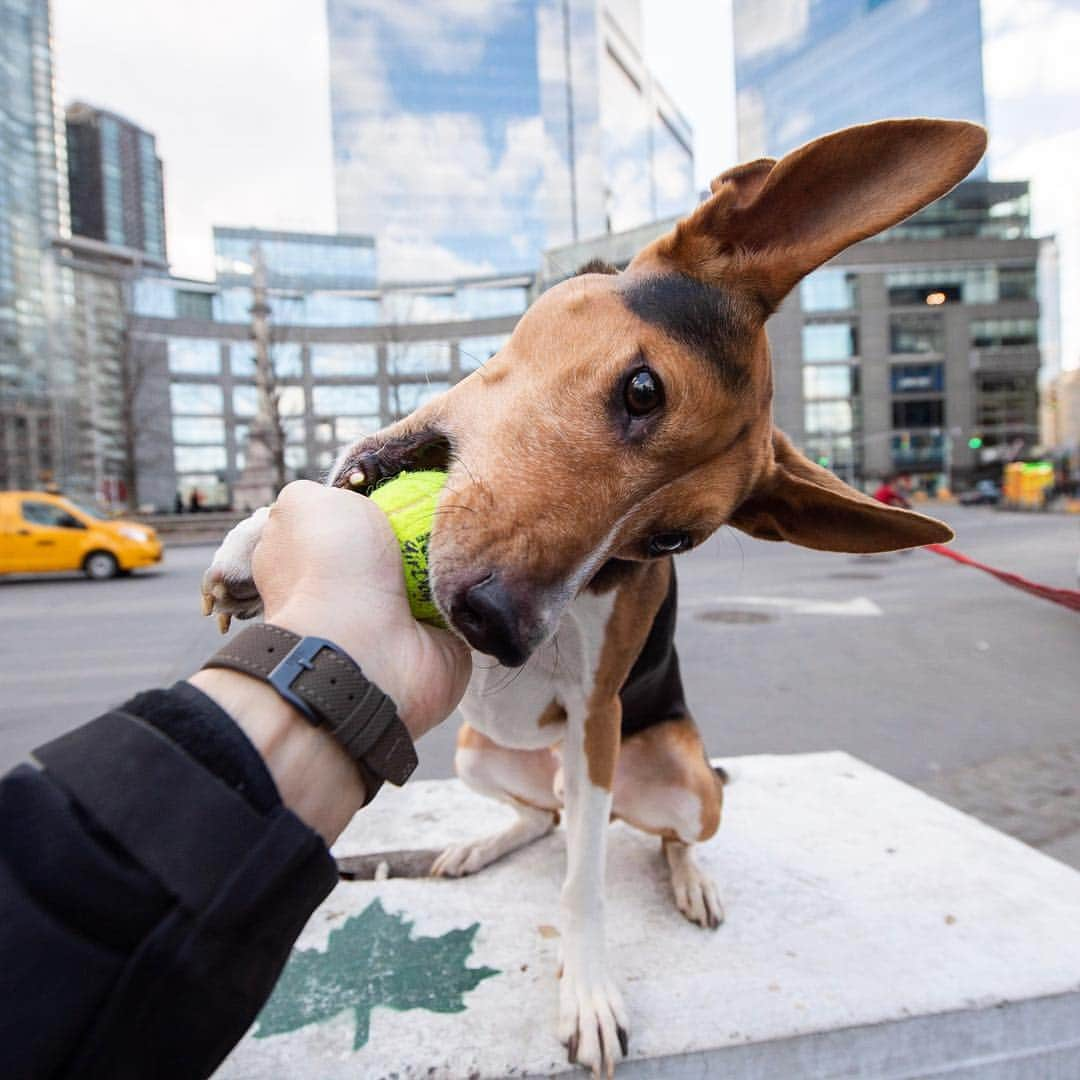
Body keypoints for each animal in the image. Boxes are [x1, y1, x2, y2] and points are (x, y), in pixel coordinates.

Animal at [204, 116, 989, 1071]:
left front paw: (587, 993)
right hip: (478, 752)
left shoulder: (596, 714)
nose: (494, 624)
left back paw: (689, 878)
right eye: (642, 389)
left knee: (644, 832)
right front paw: (252, 541)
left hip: (678, 776)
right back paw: (480, 843)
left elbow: (584, 884)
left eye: (668, 541)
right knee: (541, 817)